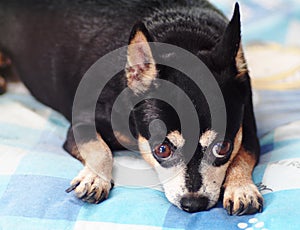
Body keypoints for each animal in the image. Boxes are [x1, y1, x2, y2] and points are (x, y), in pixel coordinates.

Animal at [0, 0, 262, 216]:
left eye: (223, 147)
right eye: (162, 150)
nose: (194, 203)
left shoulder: (247, 128)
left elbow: (244, 154)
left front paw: (241, 188)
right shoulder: (81, 124)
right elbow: (100, 149)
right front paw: (95, 178)